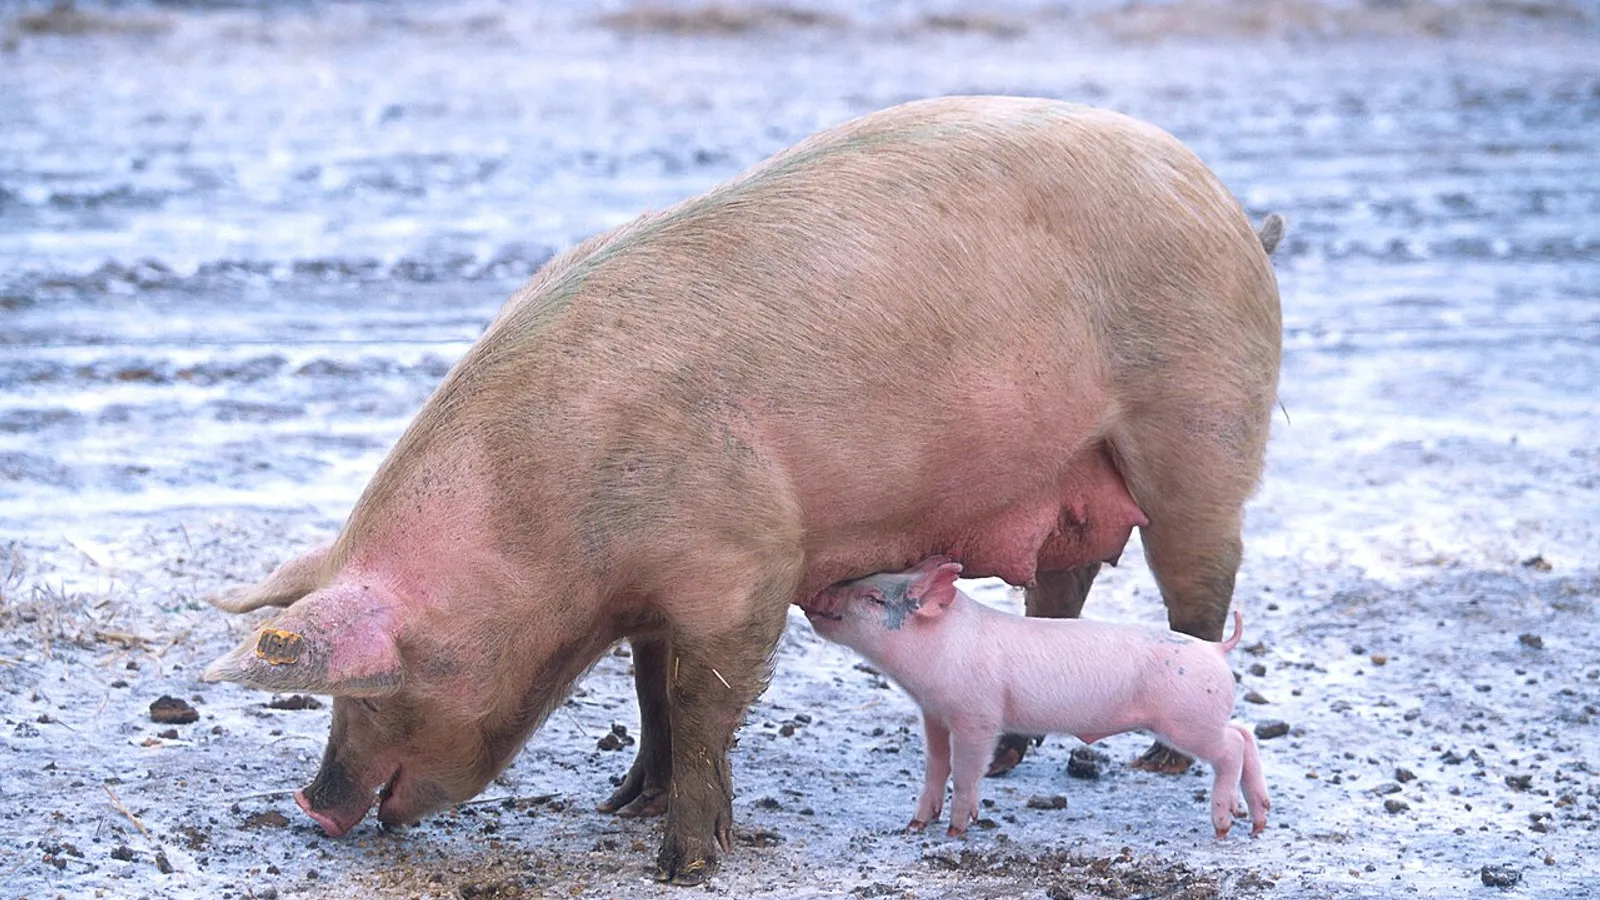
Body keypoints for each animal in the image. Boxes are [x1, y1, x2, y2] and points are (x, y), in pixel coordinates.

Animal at [806, 558, 1271, 839]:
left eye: (873, 598)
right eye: (862, 581)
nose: (815, 594)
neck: (939, 648)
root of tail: (1217, 650)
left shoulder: (977, 715)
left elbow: (967, 770)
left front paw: (957, 831)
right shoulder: (934, 714)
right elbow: (935, 766)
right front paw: (915, 825)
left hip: (1187, 720)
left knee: (1231, 746)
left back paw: (1225, 824)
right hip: (1200, 717)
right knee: (1245, 733)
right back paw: (1257, 822)